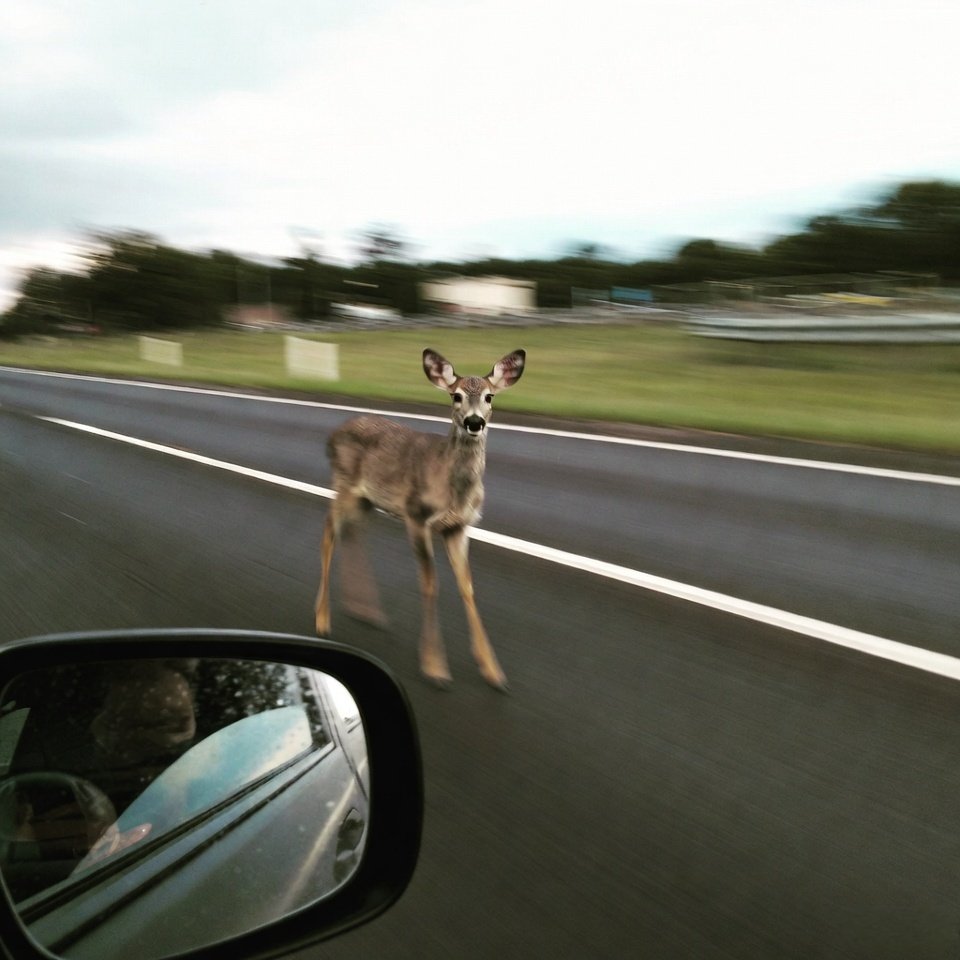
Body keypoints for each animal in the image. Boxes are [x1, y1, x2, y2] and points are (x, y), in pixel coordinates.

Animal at [314, 348, 526, 691]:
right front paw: (435, 667)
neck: (452, 489)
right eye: (456, 395)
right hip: (344, 484)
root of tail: (331, 436)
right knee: (329, 531)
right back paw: (322, 620)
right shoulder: (416, 515)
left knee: (351, 532)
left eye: (490, 396)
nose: (474, 422)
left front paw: (493, 671)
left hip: (365, 500)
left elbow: (467, 586)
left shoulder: (458, 526)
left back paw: (366, 611)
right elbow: (429, 584)